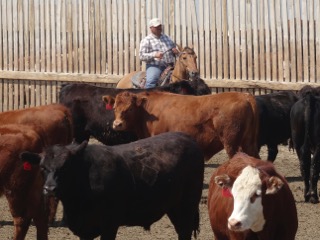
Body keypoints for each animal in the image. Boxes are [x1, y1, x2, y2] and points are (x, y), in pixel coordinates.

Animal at [20, 132, 204, 239]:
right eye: (43, 168)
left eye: (66, 166)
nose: (50, 189)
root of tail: (187, 138)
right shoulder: (84, 228)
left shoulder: (110, 223)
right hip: (173, 206)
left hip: (188, 205)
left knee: (185, 231)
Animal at [102, 90, 260, 159]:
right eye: (115, 108)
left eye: (130, 108)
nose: (117, 124)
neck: (147, 111)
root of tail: (245, 96)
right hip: (248, 144)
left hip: (232, 144)